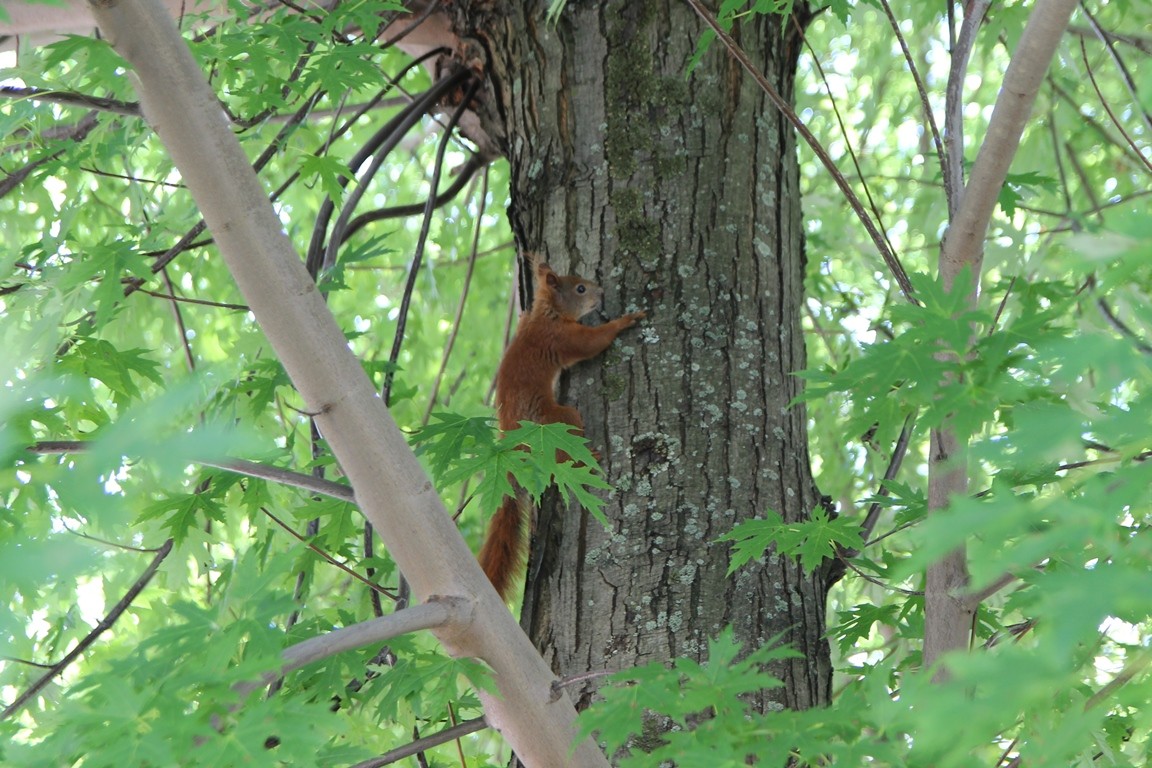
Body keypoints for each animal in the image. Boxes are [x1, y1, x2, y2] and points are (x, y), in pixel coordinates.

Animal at [477, 258, 646, 599]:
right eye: (580, 288)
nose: (601, 291)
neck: (547, 312)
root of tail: (510, 442)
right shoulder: (560, 337)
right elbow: (591, 343)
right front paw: (625, 321)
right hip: (555, 420)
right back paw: (587, 457)